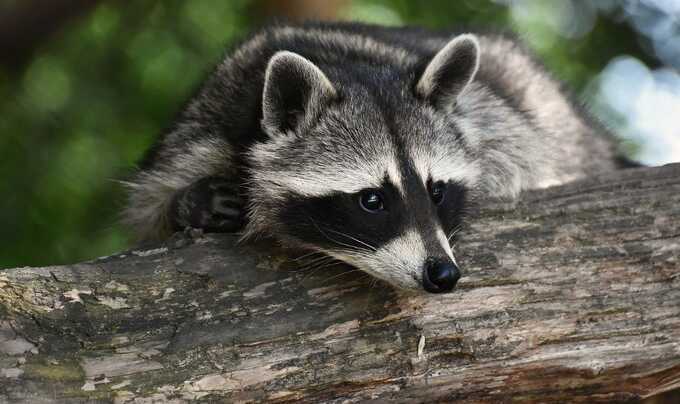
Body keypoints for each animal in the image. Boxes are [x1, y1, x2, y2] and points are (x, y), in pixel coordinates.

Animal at [123, 22, 628, 294]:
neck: (345, 66)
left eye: (437, 191)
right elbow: (149, 207)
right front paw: (191, 204)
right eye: (371, 200)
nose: (443, 274)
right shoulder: (201, 127)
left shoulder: (498, 122)